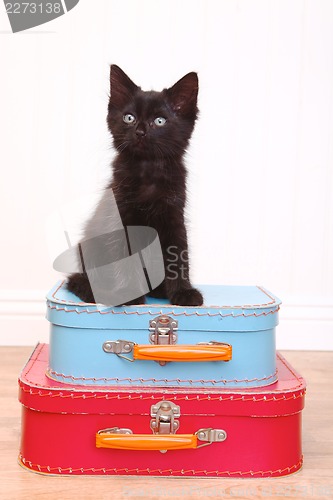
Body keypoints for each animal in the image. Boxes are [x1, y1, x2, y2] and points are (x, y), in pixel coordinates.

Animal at [67, 64, 202, 306]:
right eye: (129, 118)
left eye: (159, 121)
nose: (139, 132)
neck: (147, 171)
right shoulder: (120, 218)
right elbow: (125, 257)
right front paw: (129, 295)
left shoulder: (174, 216)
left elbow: (178, 253)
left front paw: (184, 292)